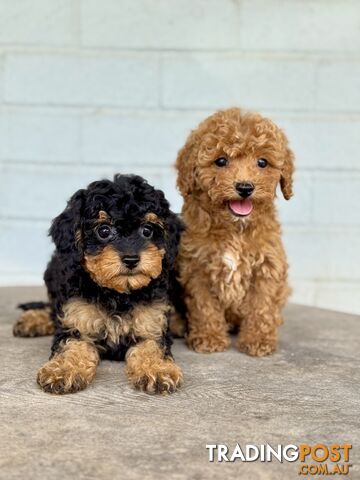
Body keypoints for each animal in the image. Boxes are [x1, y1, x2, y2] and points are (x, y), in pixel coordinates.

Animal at [13, 173, 184, 394]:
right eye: (104, 230)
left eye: (147, 230)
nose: (131, 259)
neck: (118, 293)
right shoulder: (76, 320)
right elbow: (72, 345)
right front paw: (62, 370)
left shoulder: (152, 324)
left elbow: (152, 346)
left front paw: (157, 369)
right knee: (52, 309)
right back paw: (32, 320)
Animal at [175, 109, 296, 356]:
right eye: (221, 161)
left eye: (262, 162)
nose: (245, 187)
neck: (235, 228)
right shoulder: (197, 267)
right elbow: (204, 306)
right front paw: (209, 337)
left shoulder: (267, 267)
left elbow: (262, 305)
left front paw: (259, 339)